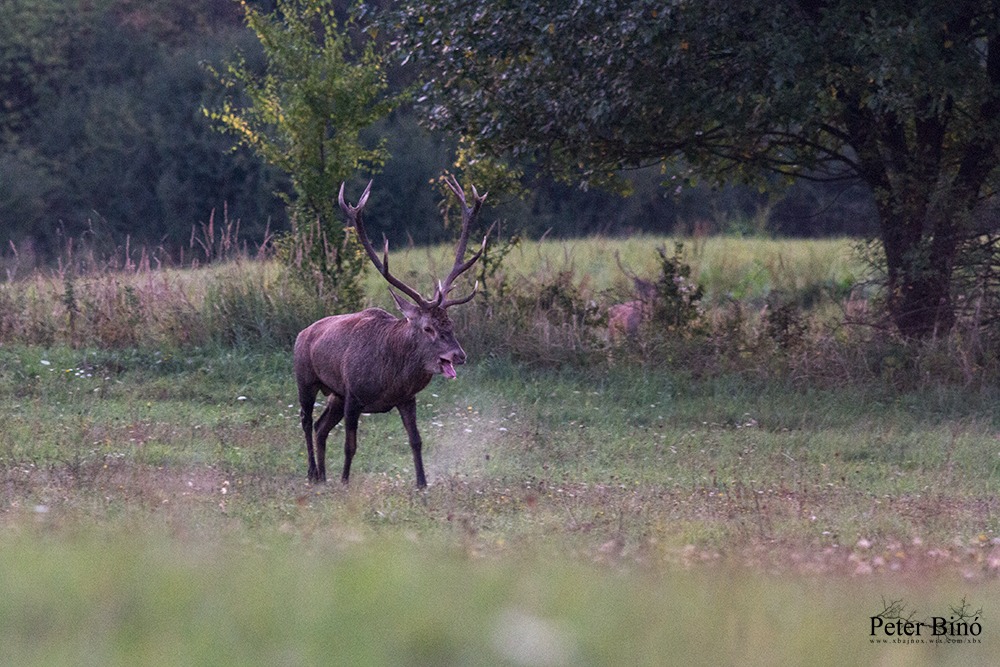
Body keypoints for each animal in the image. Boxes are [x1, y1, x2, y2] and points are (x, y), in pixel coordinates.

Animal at [293, 176, 489, 488]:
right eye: (428, 328)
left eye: (451, 324)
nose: (459, 355)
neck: (390, 376)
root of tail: (303, 333)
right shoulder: (353, 394)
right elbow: (350, 445)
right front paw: (345, 481)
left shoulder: (406, 398)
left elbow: (416, 440)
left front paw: (422, 484)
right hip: (306, 378)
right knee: (305, 420)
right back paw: (313, 472)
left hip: (334, 394)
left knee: (321, 426)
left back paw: (323, 475)